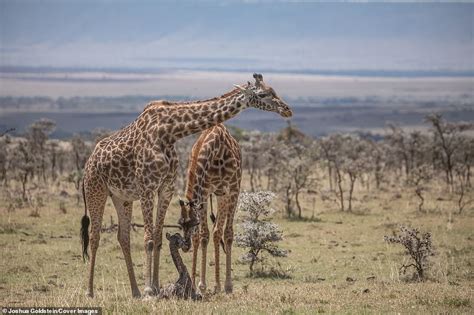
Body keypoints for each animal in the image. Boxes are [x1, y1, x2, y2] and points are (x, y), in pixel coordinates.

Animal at [180, 124, 243, 296]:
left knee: (225, 233)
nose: (185, 246)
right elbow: (203, 235)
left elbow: (219, 233)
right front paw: (198, 285)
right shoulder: (204, 191)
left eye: (192, 223)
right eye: (180, 223)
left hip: (233, 189)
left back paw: (225, 285)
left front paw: (219, 285)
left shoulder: (226, 189)